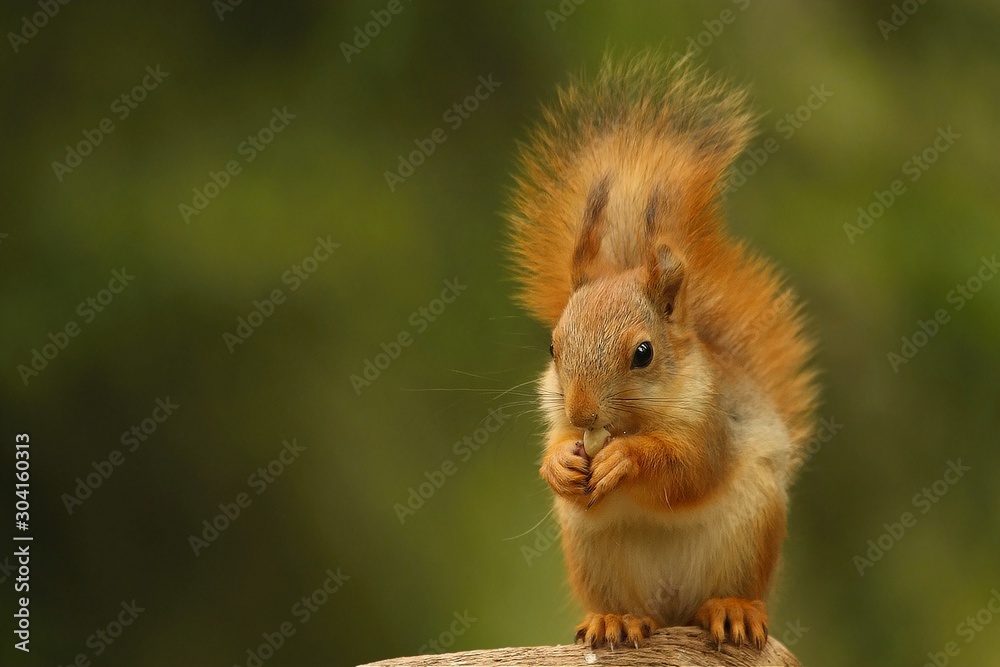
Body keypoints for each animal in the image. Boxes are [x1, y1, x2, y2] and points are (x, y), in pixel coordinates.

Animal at [505, 52, 817, 650]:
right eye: (553, 346)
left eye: (644, 353)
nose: (583, 413)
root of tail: (673, 609)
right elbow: (554, 448)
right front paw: (560, 463)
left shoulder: (712, 419)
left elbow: (688, 470)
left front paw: (628, 458)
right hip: (593, 553)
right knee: (628, 607)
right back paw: (615, 619)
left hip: (752, 526)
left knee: (726, 592)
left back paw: (732, 608)